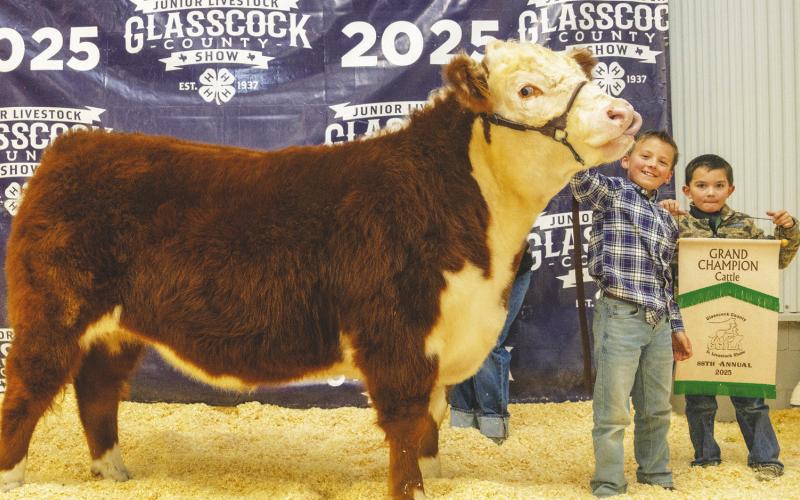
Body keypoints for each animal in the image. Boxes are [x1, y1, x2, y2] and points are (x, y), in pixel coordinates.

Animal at [0, 40, 641, 498]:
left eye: (580, 74)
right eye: (527, 89)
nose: (624, 110)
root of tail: (73, 147)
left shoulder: (441, 342)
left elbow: (431, 429)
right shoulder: (395, 340)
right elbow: (407, 431)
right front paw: (410, 487)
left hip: (116, 328)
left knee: (98, 391)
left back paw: (115, 476)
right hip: (50, 312)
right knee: (27, 391)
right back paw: (17, 478)